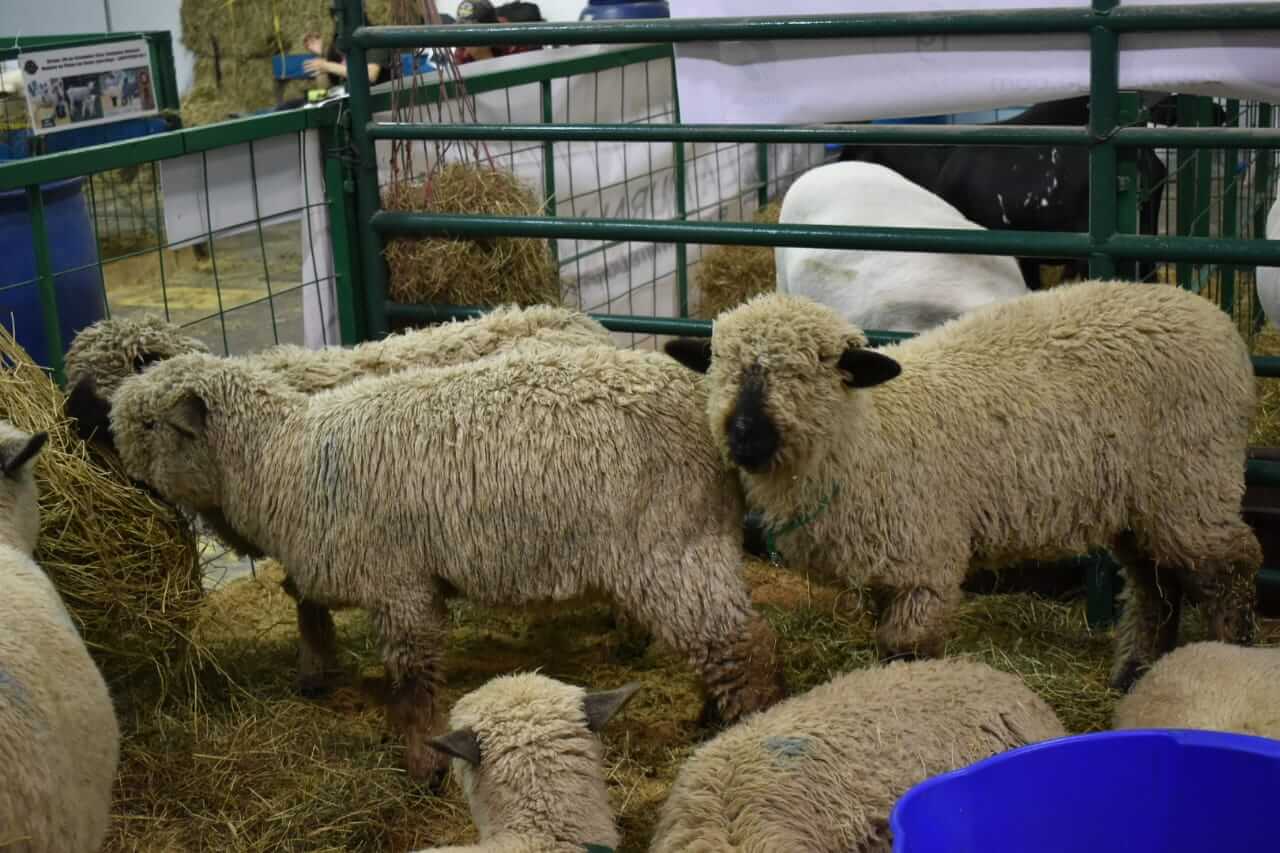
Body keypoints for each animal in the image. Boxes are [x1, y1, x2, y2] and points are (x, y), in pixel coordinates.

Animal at [64, 305, 615, 696]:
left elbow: (307, 599)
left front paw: (315, 672)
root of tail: (579, 322)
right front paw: (317, 667)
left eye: (123, 367)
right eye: (73, 369)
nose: (69, 415)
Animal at [107, 344, 787, 781]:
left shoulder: (398, 582)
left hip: (670, 542)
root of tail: (706, 410)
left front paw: (423, 765)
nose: (116, 474)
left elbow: (412, 683)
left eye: (149, 425)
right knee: (723, 641)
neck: (283, 457)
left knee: (744, 643)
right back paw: (709, 715)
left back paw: (744, 729)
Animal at [664, 282, 1262, 691]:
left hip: (1193, 480)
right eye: (718, 365)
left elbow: (904, 650)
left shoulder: (923, 564)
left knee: (1233, 567)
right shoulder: (887, 569)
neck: (866, 436)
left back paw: (1233, 654)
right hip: (1145, 502)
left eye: (809, 369)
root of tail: (1211, 315)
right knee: (1156, 583)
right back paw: (1135, 673)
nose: (743, 435)